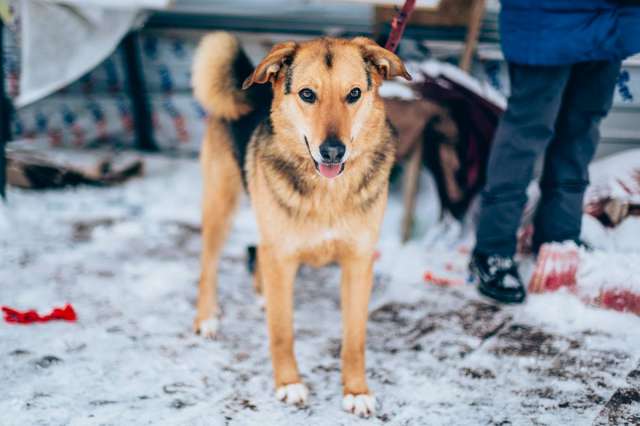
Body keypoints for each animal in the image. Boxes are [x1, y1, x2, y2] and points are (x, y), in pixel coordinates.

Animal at [191, 32, 410, 416]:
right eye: (308, 94)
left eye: (354, 93)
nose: (333, 151)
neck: (328, 192)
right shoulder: (281, 254)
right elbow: (282, 332)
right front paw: (289, 383)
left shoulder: (358, 261)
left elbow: (355, 338)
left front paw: (356, 390)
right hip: (221, 204)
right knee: (209, 266)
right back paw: (207, 318)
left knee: (256, 252)